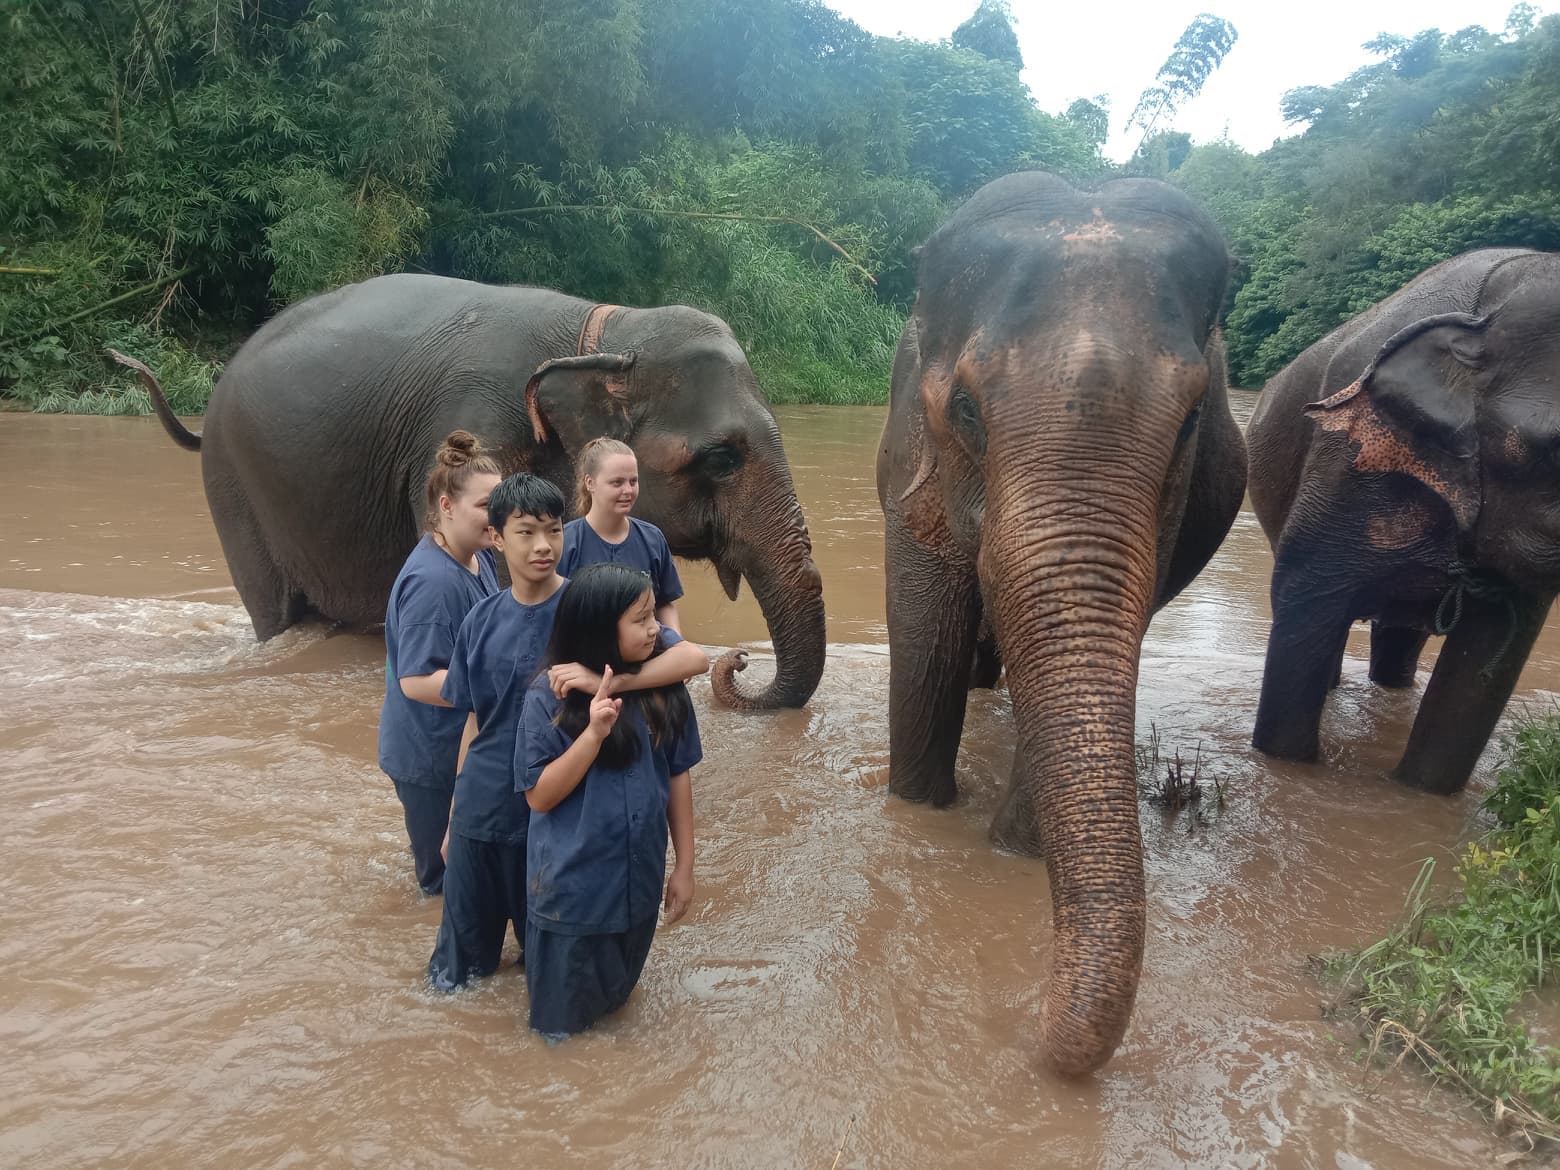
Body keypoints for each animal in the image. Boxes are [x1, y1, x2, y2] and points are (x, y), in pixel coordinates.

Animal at [877, 172, 1247, 1075]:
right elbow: (928, 646)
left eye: (1193, 420)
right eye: (965, 410)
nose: (1021, 1018)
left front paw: (1015, 851)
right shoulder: (911, 457)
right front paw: (919, 811)